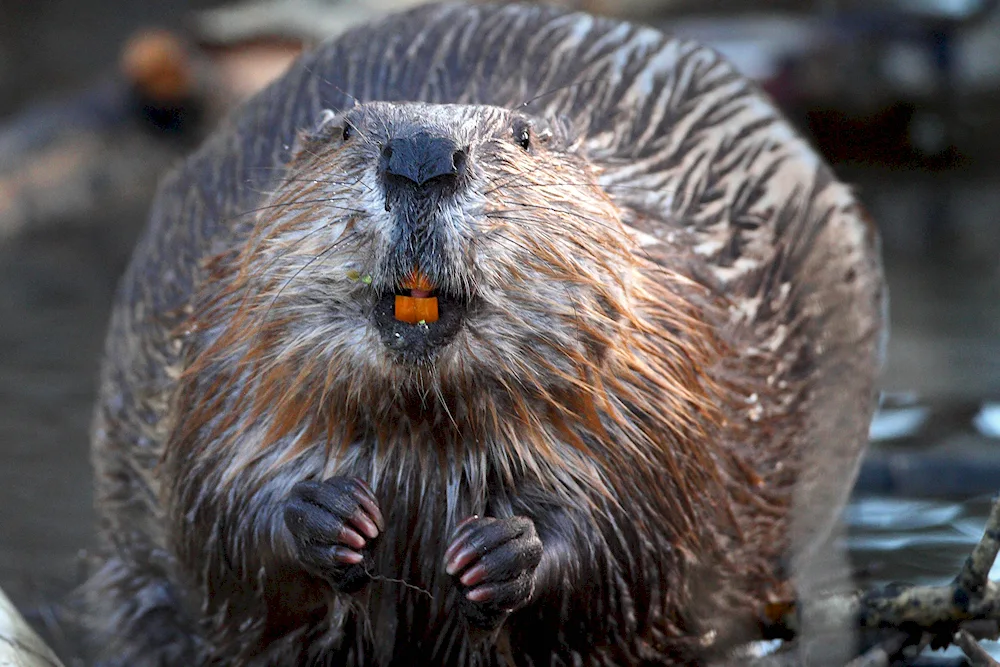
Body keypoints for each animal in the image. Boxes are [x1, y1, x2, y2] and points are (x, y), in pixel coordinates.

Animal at [86, 2, 884, 664]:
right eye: (344, 131)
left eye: (523, 137)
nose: (421, 157)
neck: (423, 435)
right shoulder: (217, 351)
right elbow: (212, 516)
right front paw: (330, 514)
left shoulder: (664, 376)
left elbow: (640, 543)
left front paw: (501, 550)